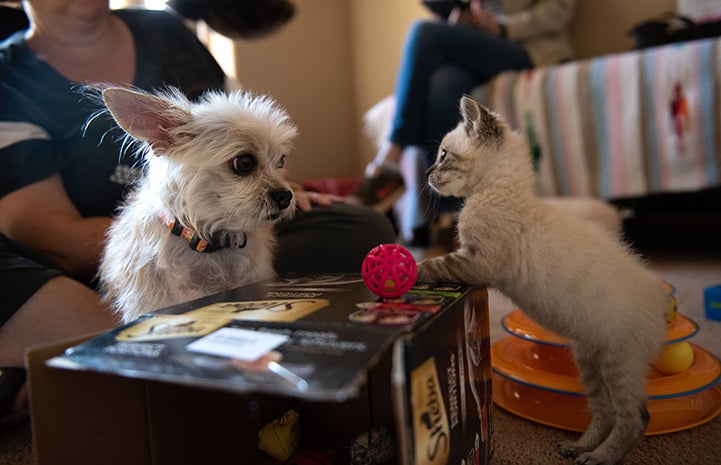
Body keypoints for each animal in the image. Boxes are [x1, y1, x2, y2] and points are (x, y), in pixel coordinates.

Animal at [416, 95, 668, 464]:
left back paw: (599, 458)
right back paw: (578, 447)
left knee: (635, 419)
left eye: (443, 155)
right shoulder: (470, 258)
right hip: (589, 362)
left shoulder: (476, 262)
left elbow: (431, 265)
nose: (426, 173)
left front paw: (393, 267)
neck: (497, 190)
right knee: (605, 413)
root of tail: (660, 302)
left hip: (618, 364)